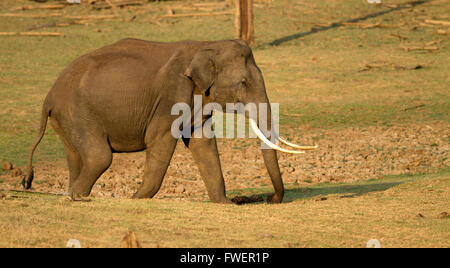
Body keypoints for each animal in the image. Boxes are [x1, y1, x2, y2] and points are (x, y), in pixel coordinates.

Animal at [22, 38, 316, 204]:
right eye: (243, 83)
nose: (265, 198)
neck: (205, 45)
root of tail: (48, 97)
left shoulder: (198, 98)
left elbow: (202, 143)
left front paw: (224, 203)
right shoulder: (170, 97)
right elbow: (161, 140)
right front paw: (136, 199)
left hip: (67, 120)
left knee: (77, 157)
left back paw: (72, 195)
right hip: (78, 114)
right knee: (99, 156)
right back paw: (81, 198)